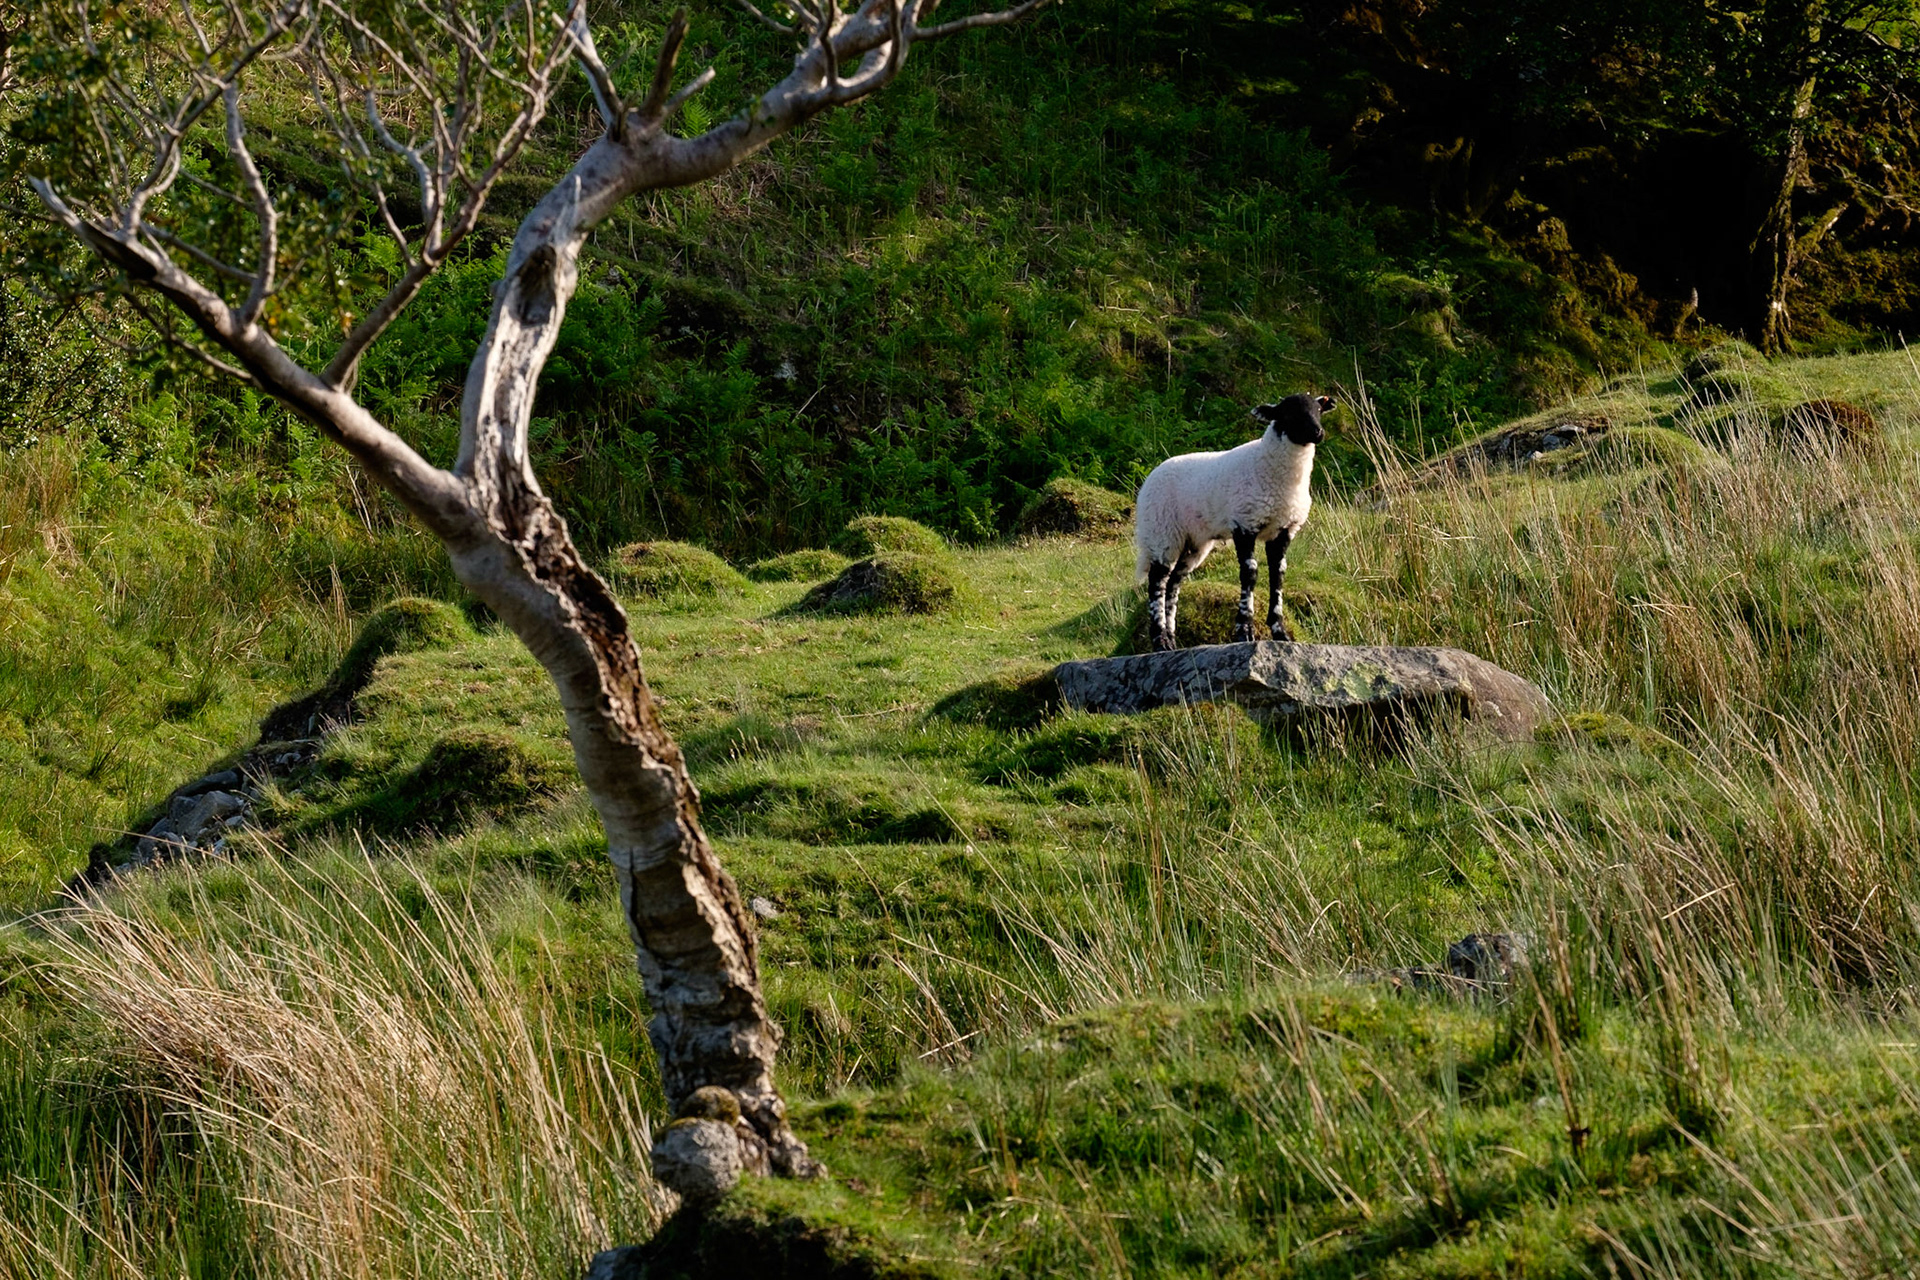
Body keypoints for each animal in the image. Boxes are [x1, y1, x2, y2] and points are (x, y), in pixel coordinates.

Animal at [1133, 392, 1334, 652]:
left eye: (1319, 410)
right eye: (1289, 413)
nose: (1318, 432)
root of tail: (1151, 476)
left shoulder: (1284, 529)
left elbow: (1278, 575)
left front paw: (1280, 632)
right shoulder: (1244, 524)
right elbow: (1250, 573)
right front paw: (1244, 631)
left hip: (1193, 542)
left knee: (1173, 583)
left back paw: (1172, 640)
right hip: (1162, 531)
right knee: (1157, 581)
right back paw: (1160, 641)